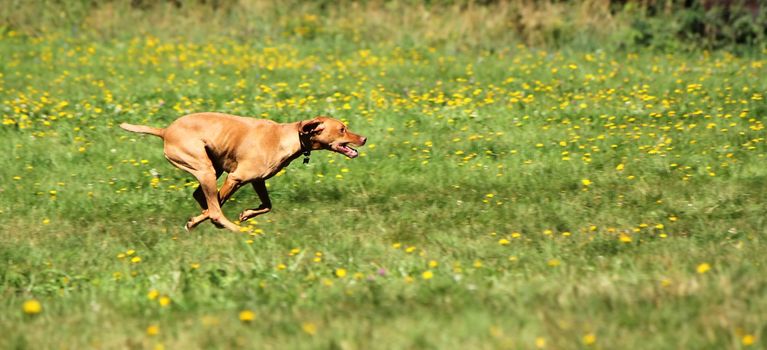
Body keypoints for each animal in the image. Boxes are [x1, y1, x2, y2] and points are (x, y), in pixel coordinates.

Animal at [121, 113, 368, 231]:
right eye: (342, 129)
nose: (364, 138)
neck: (287, 137)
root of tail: (165, 131)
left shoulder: (257, 181)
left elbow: (267, 205)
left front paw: (247, 214)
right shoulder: (236, 178)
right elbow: (215, 207)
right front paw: (197, 221)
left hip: (212, 168)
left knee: (201, 197)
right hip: (206, 170)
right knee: (215, 210)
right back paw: (236, 231)